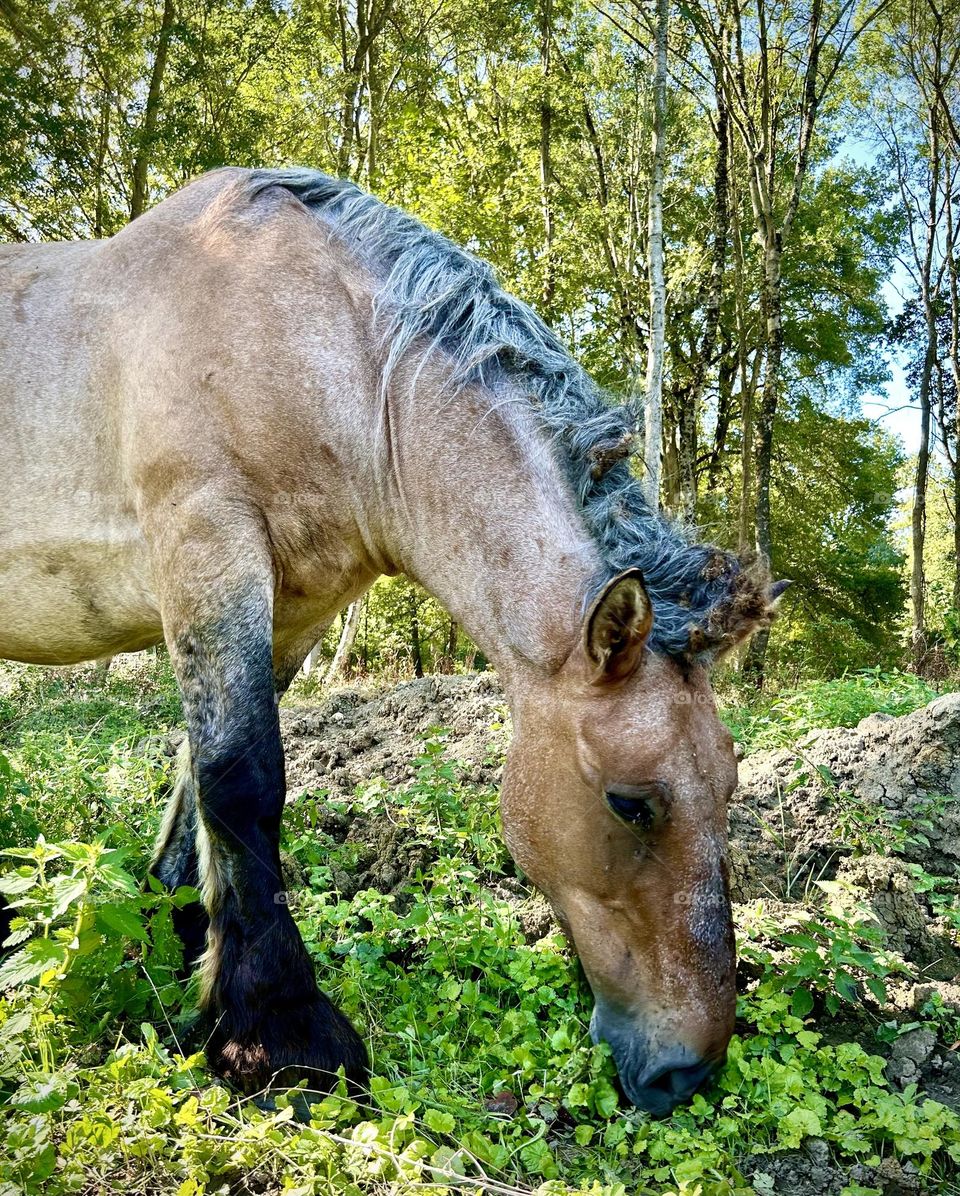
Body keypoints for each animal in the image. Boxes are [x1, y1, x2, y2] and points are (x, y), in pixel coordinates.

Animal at [0, 171, 779, 1119]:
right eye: (632, 803)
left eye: (729, 782)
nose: (688, 1072)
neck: (325, 352)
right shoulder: (207, 547)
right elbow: (242, 780)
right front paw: (280, 1036)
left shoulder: (292, 611)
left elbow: (196, 788)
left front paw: (175, 957)